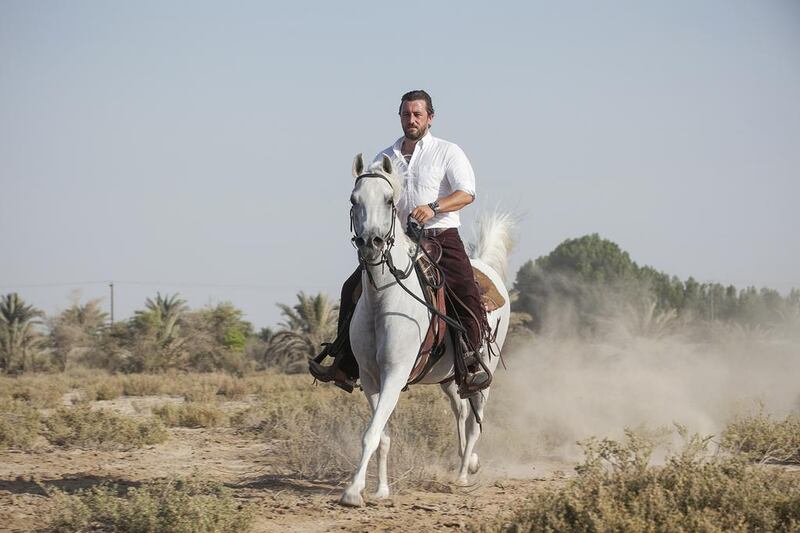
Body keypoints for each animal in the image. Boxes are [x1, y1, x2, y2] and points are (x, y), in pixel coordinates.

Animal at [340, 152, 512, 504]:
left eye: (389, 199)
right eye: (354, 200)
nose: (371, 244)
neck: (383, 298)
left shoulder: (395, 373)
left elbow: (371, 433)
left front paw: (352, 491)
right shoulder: (370, 376)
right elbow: (381, 435)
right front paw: (380, 490)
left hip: (485, 373)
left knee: (475, 421)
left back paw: (463, 474)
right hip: (450, 377)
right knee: (461, 412)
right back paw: (467, 461)